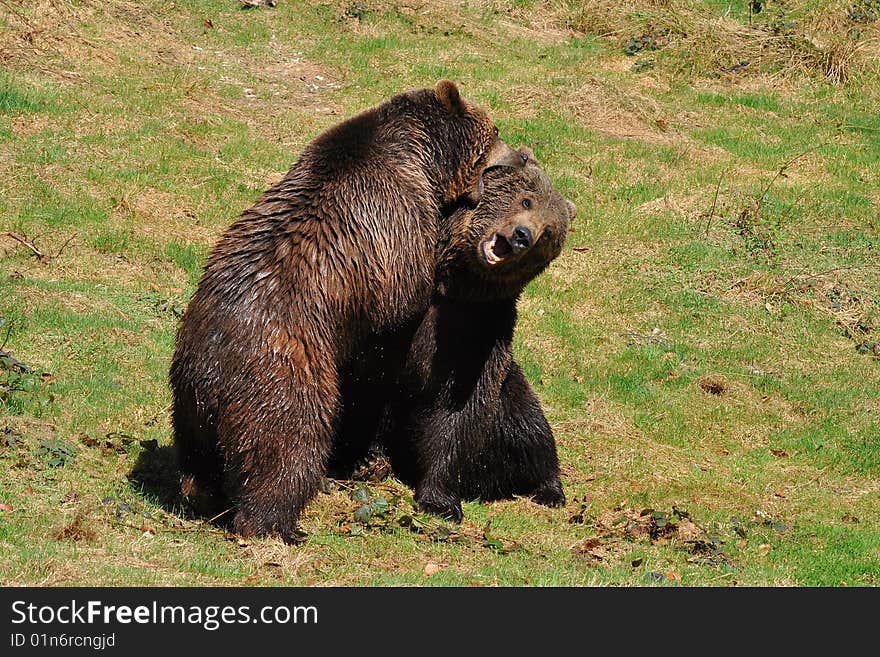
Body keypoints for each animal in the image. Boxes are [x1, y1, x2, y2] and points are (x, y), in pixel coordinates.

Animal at [372, 150, 576, 524]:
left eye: (549, 233)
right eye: (526, 200)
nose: (523, 235)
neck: (452, 286)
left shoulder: (481, 333)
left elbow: (461, 411)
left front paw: (439, 501)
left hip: (512, 393)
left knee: (532, 430)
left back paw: (548, 489)